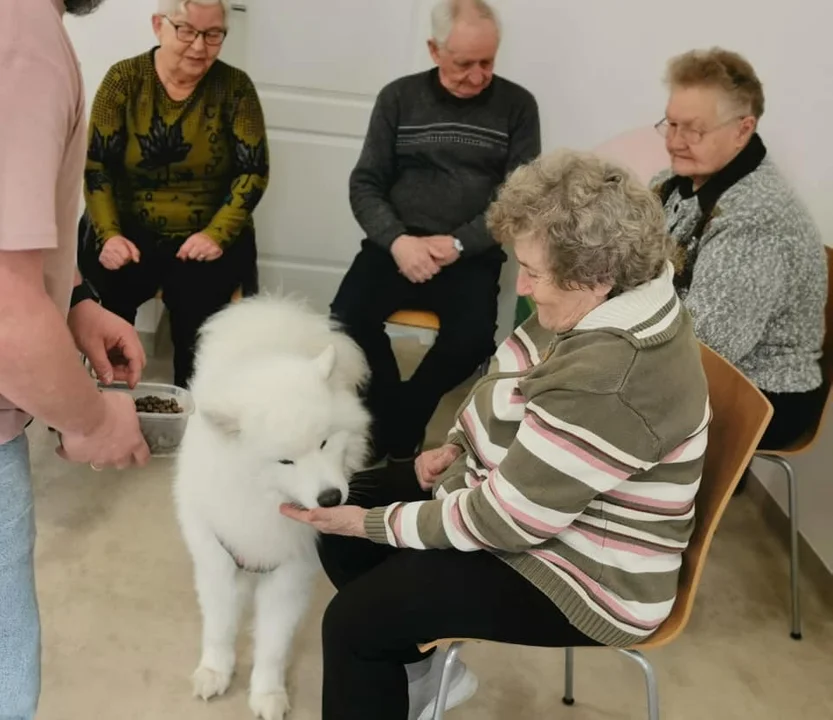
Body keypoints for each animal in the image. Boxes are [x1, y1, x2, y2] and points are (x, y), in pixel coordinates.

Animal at [174, 294, 368, 720]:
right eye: (285, 461)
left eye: (325, 442)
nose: (331, 498)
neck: (260, 507)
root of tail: (271, 315)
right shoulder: (218, 562)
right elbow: (219, 626)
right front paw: (215, 671)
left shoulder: (290, 573)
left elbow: (274, 644)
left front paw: (267, 694)